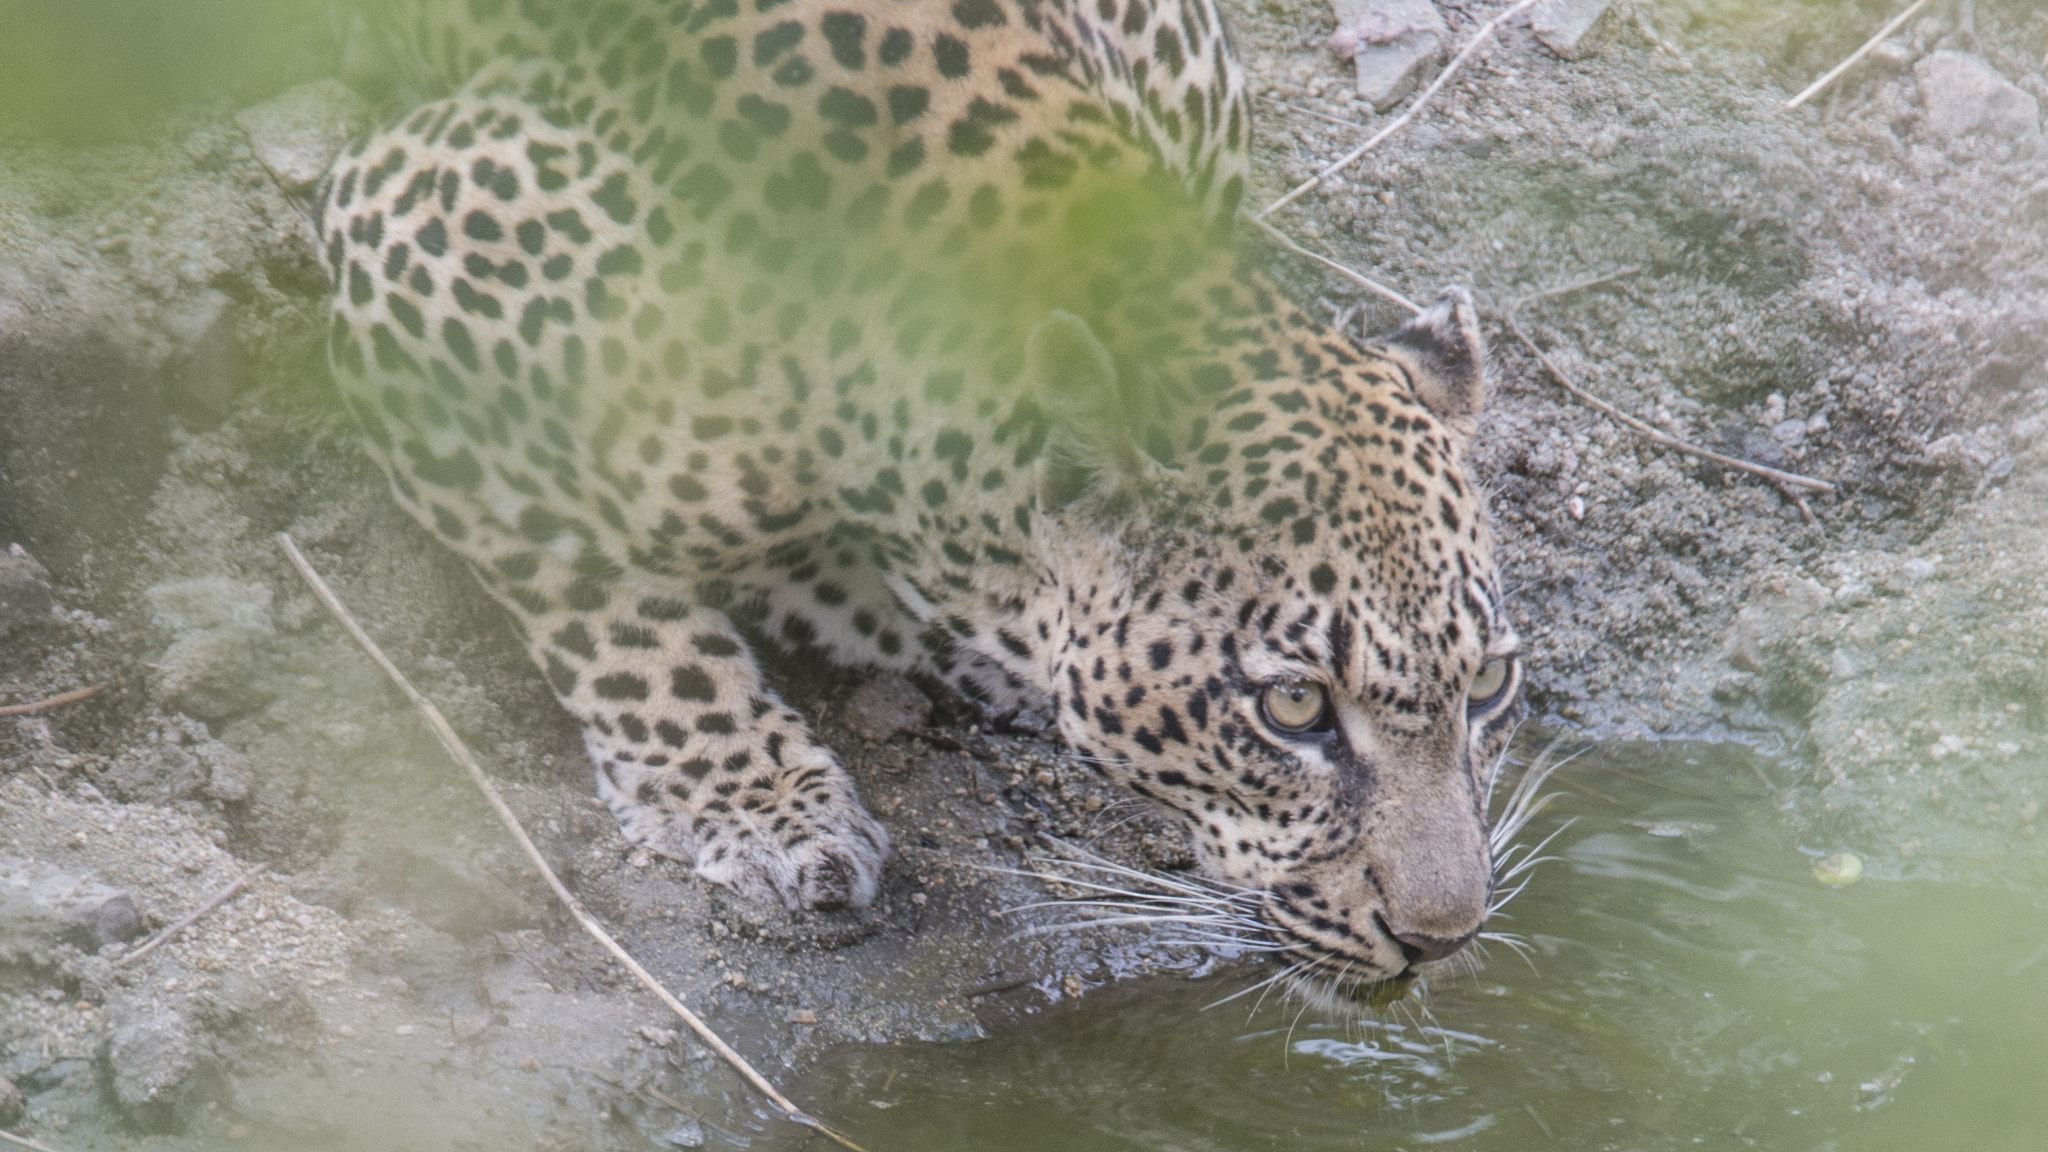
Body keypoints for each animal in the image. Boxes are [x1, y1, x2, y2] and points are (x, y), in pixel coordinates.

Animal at [320, 0, 1523, 996]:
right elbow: (596, 594)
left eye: (1489, 685)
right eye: (1293, 708)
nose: (1443, 938)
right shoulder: (413, 245)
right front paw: (755, 803)